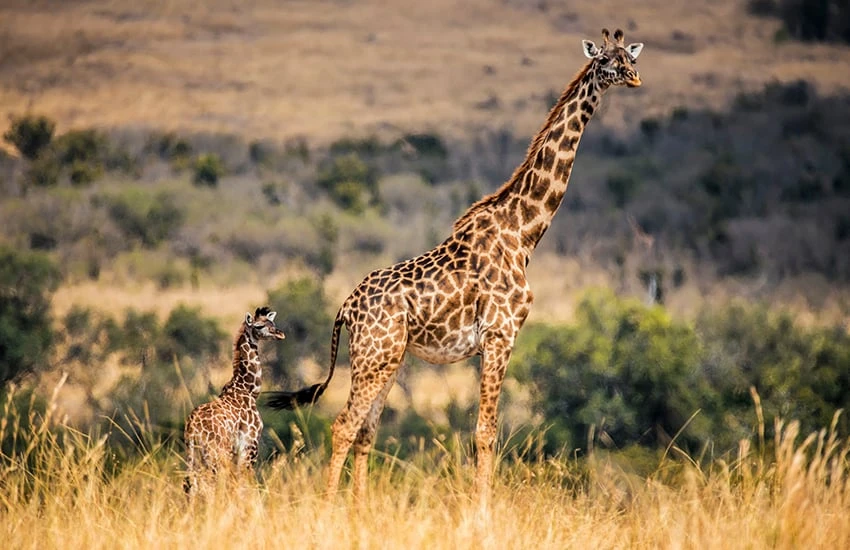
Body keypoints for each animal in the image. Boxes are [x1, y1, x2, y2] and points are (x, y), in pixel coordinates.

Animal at [182, 308, 284, 498]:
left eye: (272, 323)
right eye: (259, 326)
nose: (280, 334)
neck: (248, 390)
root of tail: (192, 426)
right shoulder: (249, 444)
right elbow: (246, 481)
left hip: (193, 453)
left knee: (190, 483)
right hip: (216, 453)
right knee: (208, 484)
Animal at [266, 28, 644, 506]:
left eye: (629, 56)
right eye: (605, 61)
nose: (634, 78)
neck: (524, 231)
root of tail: (345, 309)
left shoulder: (494, 341)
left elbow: (483, 431)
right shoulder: (501, 335)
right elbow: (485, 432)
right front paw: (483, 510)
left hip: (386, 359)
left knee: (366, 431)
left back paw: (359, 509)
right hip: (375, 357)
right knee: (345, 426)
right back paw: (331, 508)